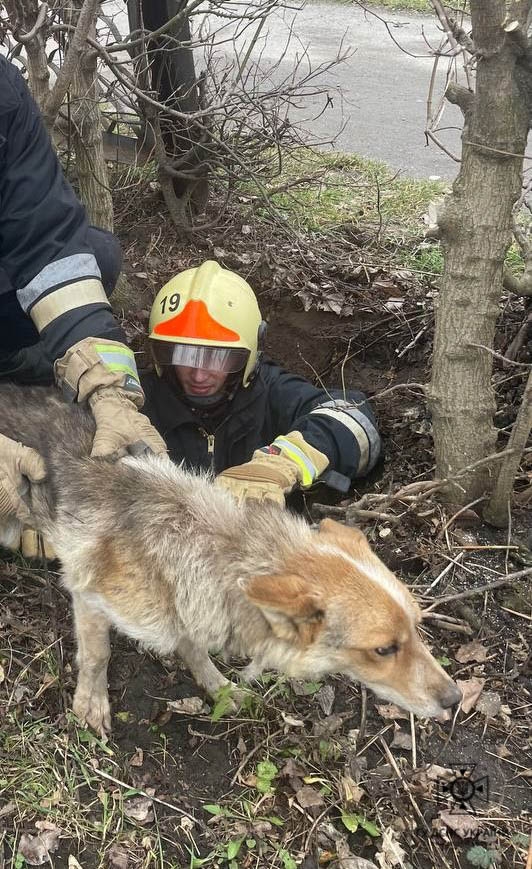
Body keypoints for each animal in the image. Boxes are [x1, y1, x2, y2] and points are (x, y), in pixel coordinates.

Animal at [0, 384, 460, 728]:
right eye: (384, 649)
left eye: (417, 627)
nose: (456, 698)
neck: (209, 547)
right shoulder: (89, 595)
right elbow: (98, 656)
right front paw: (91, 704)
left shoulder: (188, 607)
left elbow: (194, 649)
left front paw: (215, 685)